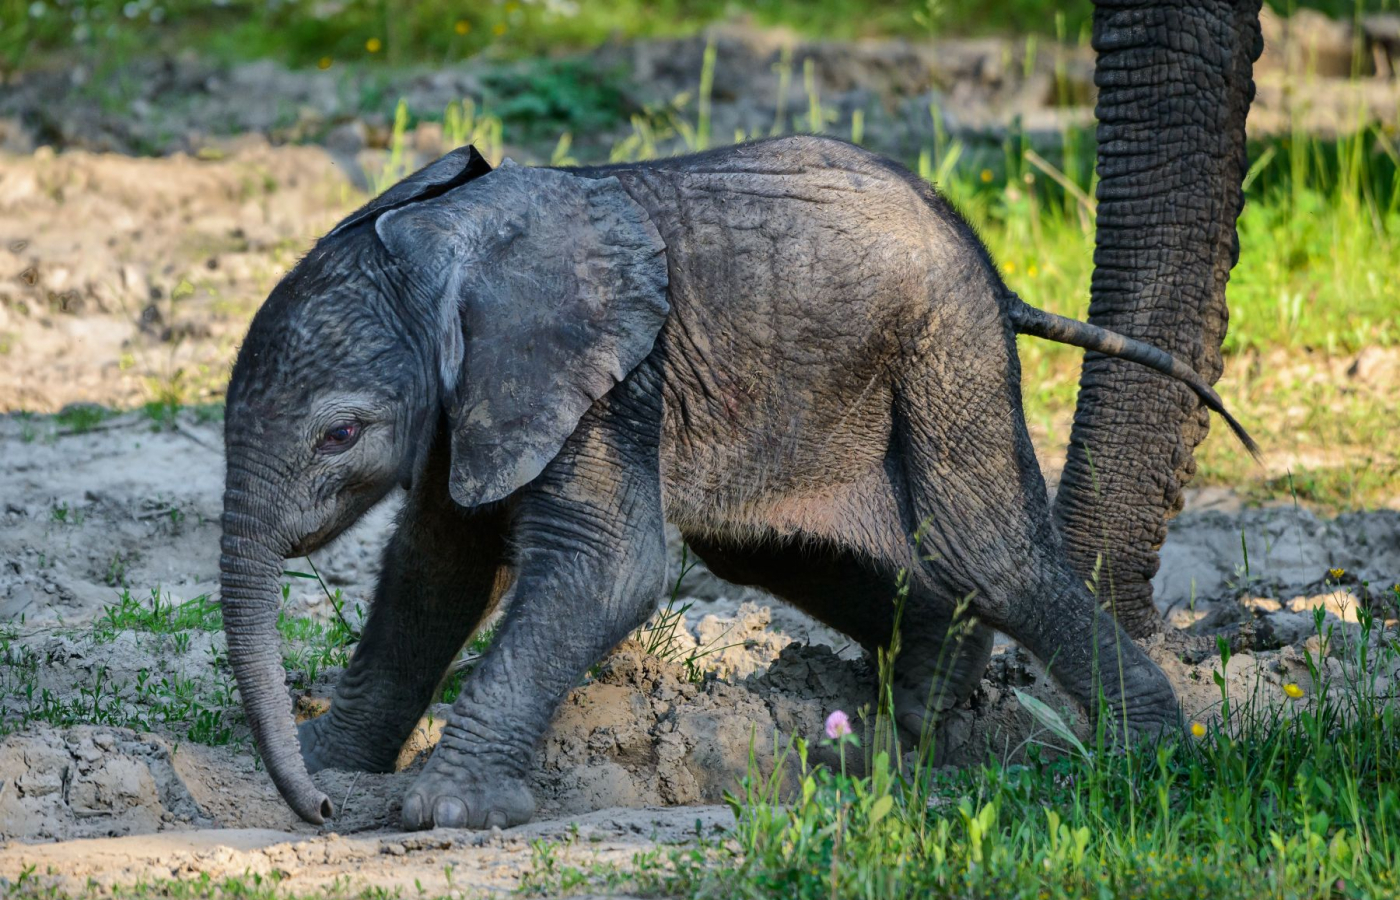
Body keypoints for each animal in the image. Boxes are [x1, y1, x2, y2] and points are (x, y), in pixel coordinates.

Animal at [221, 135, 1260, 828]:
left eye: (340, 435)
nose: (317, 814)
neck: (453, 234)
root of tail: (992, 268)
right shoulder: (478, 402)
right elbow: (434, 571)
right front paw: (330, 768)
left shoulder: (606, 379)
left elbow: (607, 568)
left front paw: (438, 811)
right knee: (767, 545)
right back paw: (913, 725)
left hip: (946, 338)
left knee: (984, 551)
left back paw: (1147, 760)